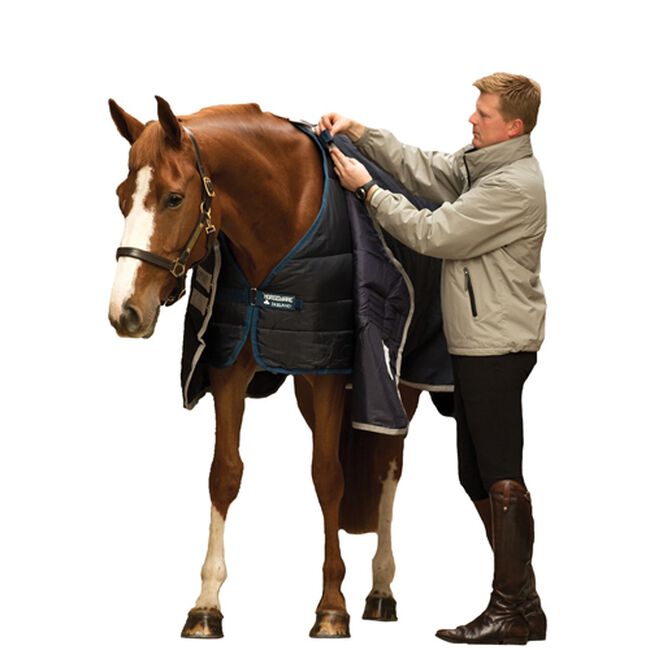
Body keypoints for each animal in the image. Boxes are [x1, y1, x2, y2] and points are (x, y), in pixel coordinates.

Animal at [107, 96, 421, 639]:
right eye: (122, 197)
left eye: (173, 198)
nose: (125, 312)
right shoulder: (231, 367)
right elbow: (224, 473)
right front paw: (206, 604)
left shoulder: (329, 372)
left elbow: (328, 476)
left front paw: (332, 606)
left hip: (393, 391)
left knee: (386, 467)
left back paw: (380, 589)